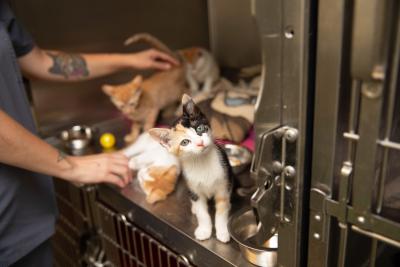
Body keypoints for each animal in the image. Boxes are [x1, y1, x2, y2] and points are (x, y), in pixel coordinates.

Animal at [148, 94, 233, 245]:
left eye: (199, 129)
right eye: (185, 142)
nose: (200, 143)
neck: (201, 161)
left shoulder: (223, 185)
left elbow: (221, 210)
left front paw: (223, 231)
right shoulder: (193, 187)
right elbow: (202, 212)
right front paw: (204, 230)